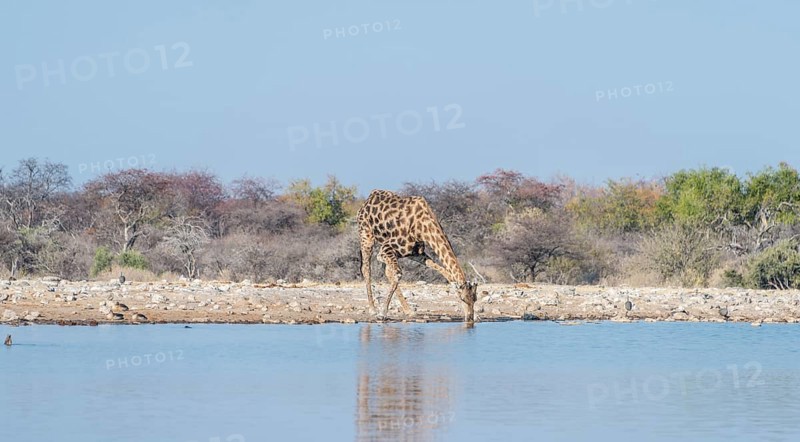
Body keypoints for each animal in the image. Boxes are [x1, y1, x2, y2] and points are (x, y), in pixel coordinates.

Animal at [357, 189, 478, 322]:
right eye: (462, 298)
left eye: (475, 299)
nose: (470, 318)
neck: (423, 227)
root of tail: (367, 200)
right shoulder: (386, 248)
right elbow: (398, 274)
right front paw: (382, 313)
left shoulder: (416, 253)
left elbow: (443, 270)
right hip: (366, 236)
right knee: (366, 269)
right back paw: (373, 309)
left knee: (387, 272)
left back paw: (408, 311)